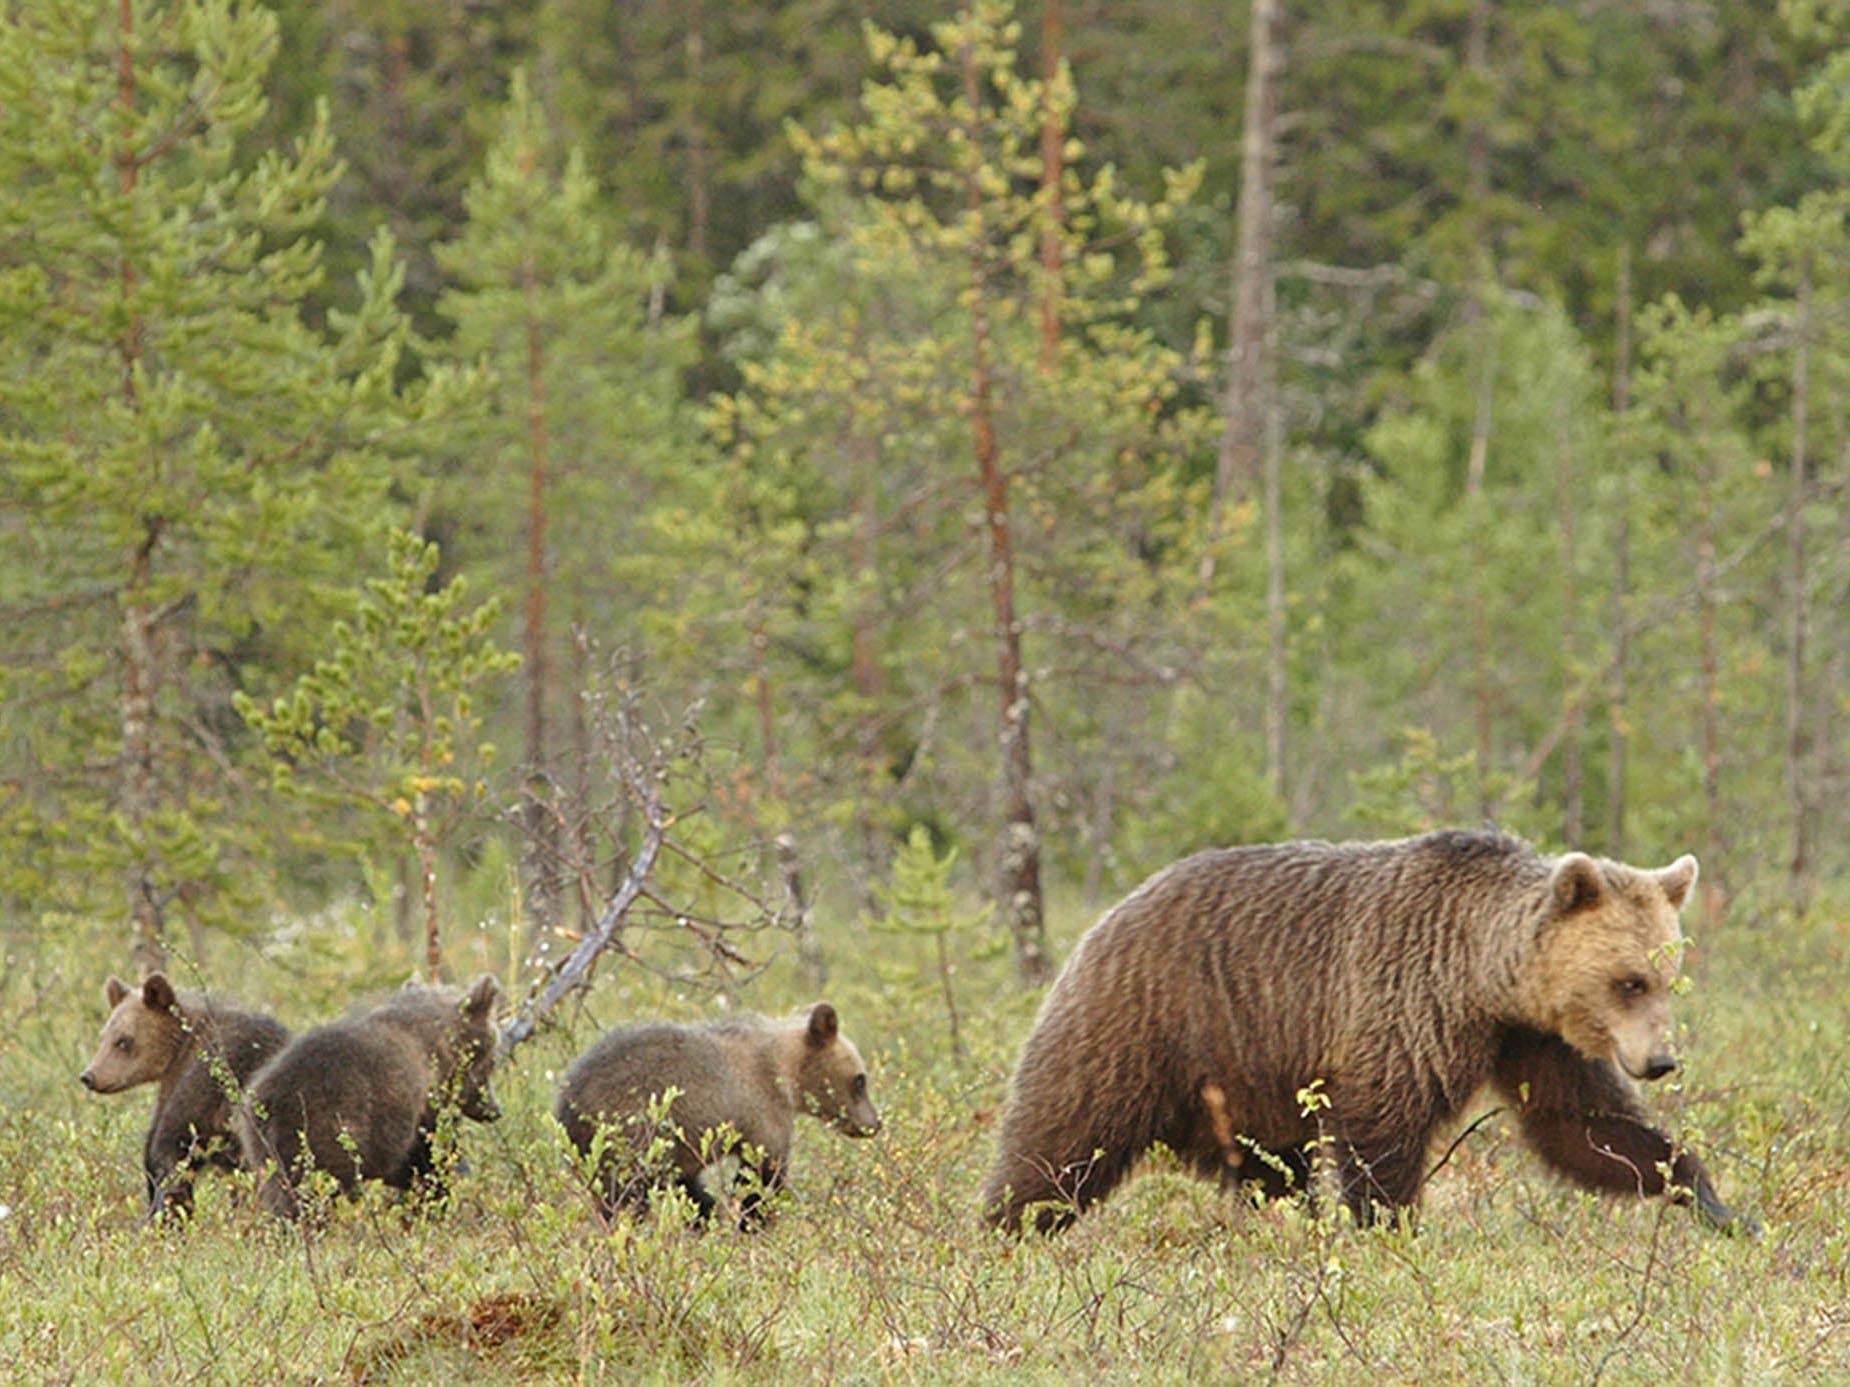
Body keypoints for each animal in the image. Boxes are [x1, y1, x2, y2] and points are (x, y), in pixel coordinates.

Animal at [238, 976, 503, 1213]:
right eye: (491, 1063)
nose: (495, 1110)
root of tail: (273, 1099)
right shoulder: (422, 1111)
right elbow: (430, 1161)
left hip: (263, 1147)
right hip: (326, 1131)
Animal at [547, 998, 880, 1227]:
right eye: (860, 1080)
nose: (874, 1124)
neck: (783, 1073)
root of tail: (565, 1106)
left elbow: (693, 1189)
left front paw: (707, 1218)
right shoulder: (761, 1113)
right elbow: (761, 1176)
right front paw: (753, 1223)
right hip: (626, 1135)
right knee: (627, 1194)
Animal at [976, 835, 1753, 1235]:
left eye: (1669, 974)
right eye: (1629, 980)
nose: (1659, 1060)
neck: (1482, 977)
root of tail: (1107, 916)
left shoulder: (1528, 1037)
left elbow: (1581, 1124)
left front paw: (1714, 1201)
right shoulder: (1404, 1002)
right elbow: (1382, 1130)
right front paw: (1389, 1227)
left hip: (1246, 1082)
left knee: (1273, 1172)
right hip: (1145, 1025)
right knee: (1063, 1140)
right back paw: (1007, 1229)